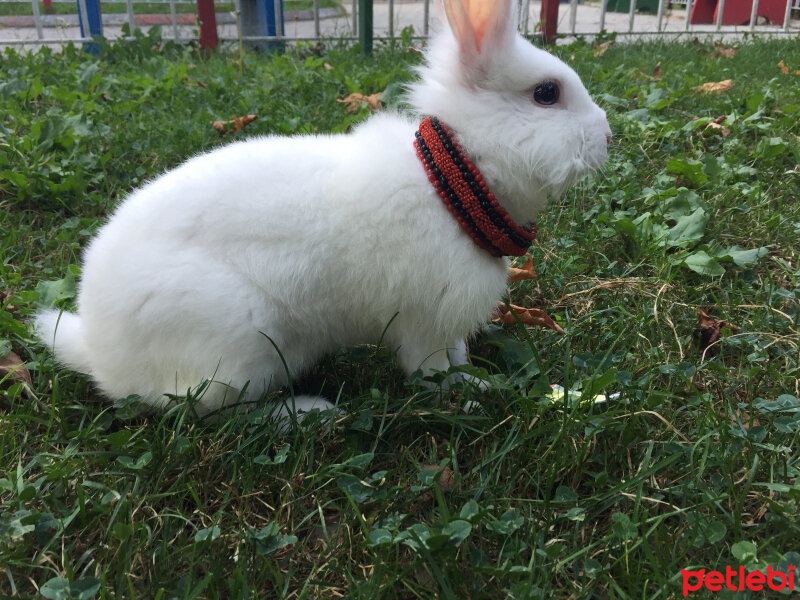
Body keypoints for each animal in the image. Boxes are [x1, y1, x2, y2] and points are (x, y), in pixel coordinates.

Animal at [34, 0, 608, 422]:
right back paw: (309, 412)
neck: (455, 185)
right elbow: (428, 370)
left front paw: (472, 376)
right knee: (213, 413)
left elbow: (454, 354)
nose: (606, 136)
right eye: (546, 93)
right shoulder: (423, 321)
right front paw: (468, 391)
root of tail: (103, 359)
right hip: (240, 344)